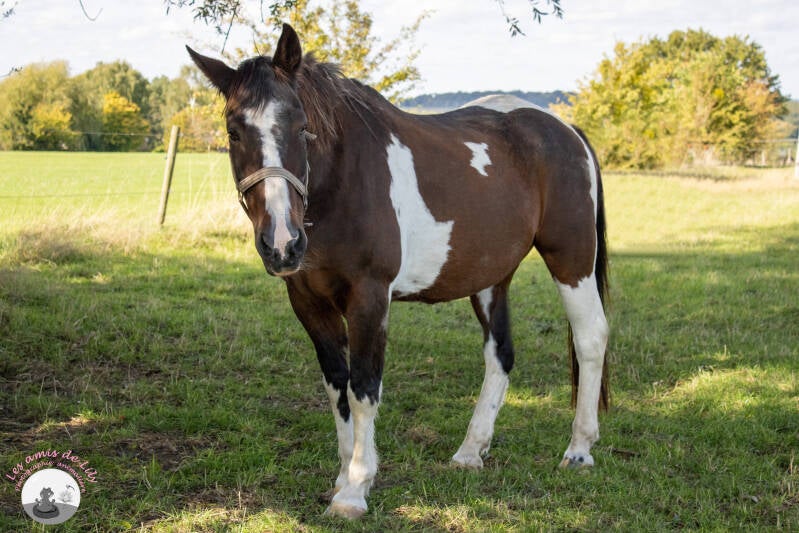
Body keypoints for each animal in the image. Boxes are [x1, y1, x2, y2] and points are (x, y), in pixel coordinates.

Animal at [187, 23, 609, 519]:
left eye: (301, 127)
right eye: (234, 132)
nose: (282, 244)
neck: (342, 183)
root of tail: (566, 130)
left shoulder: (370, 298)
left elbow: (364, 387)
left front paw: (354, 490)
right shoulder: (308, 302)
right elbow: (337, 386)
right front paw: (342, 478)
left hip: (571, 258)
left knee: (590, 338)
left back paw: (579, 450)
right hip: (490, 278)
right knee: (500, 354)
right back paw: (470, 452)